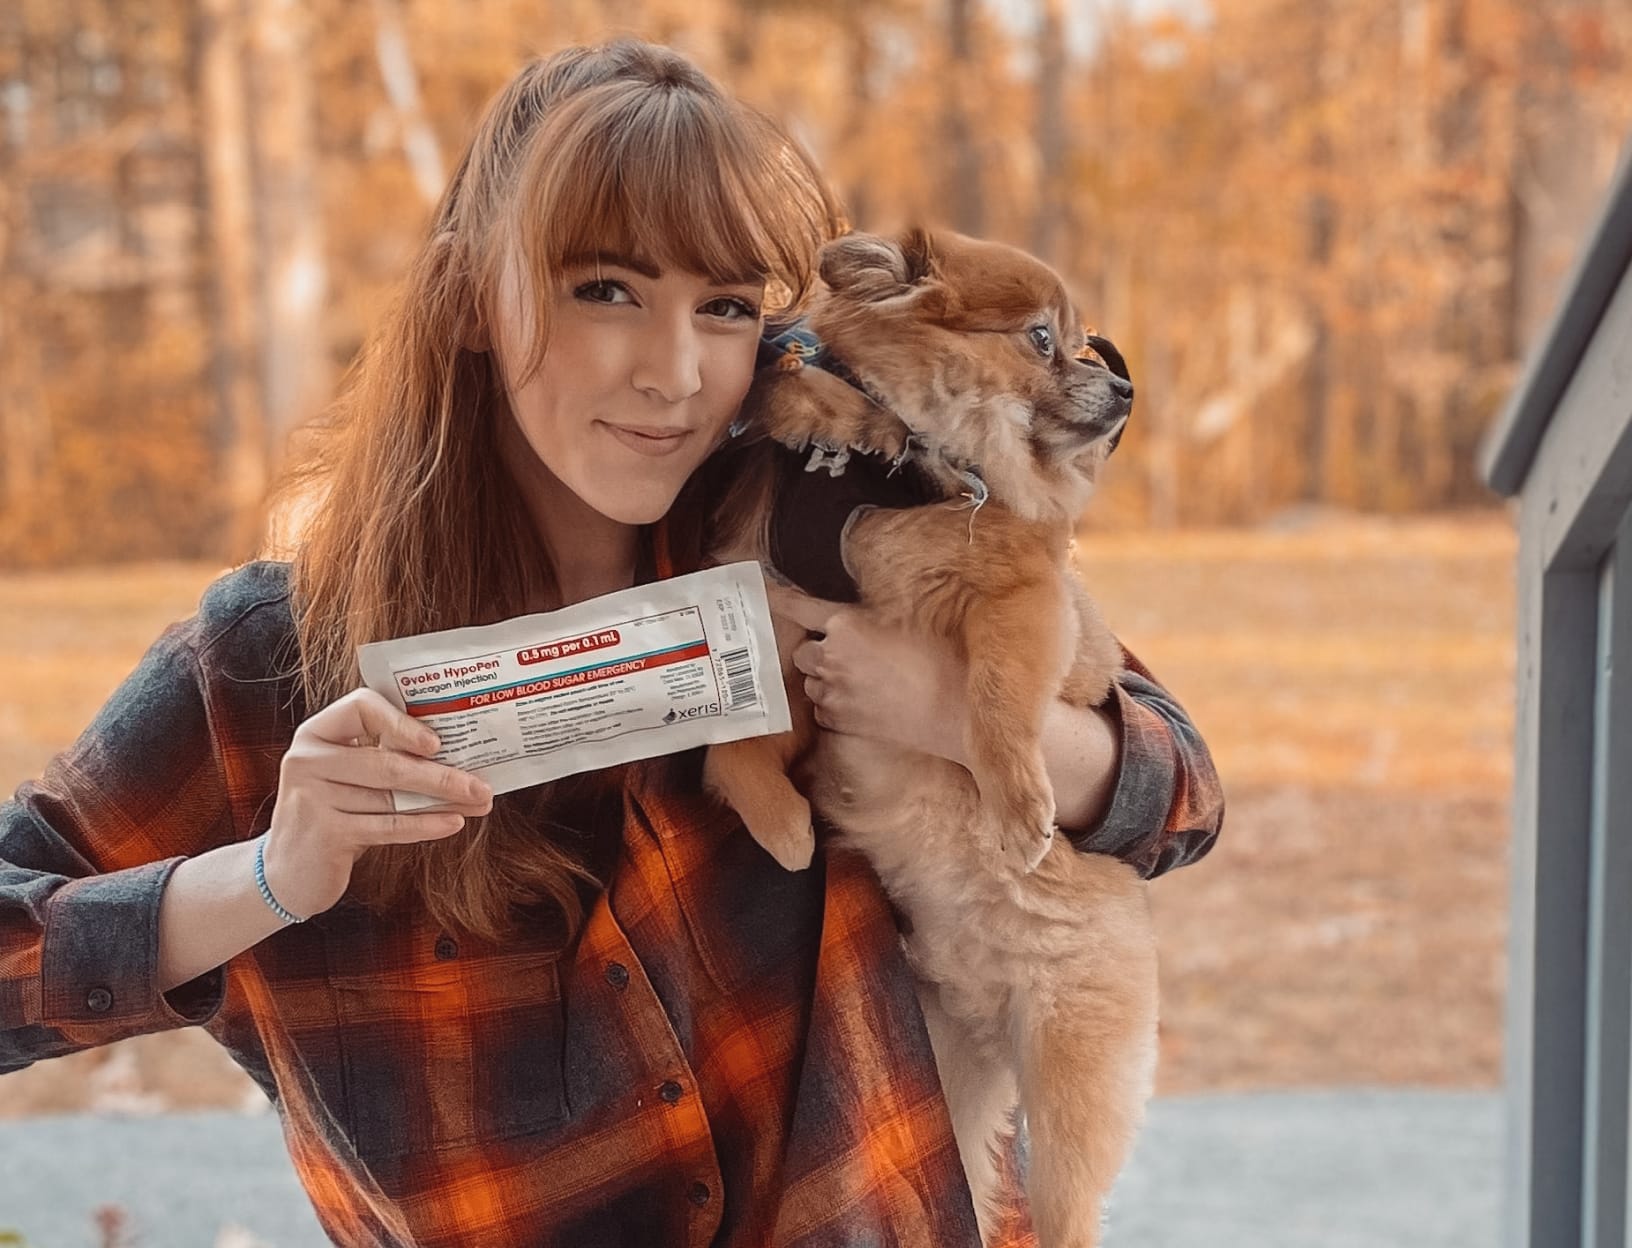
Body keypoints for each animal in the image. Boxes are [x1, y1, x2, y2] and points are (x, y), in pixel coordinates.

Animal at [708, 226, 1155, 1246]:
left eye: (1082, 342)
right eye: (1044, 339)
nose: (1123, 388)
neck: (910, 469)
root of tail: (988, 1012)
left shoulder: (1021, 602)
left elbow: (992, 701)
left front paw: (1020, 808)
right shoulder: (782, 615)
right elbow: (738, 747)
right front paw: (783, 828)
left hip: (1068, 1095)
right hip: (949, 1079)